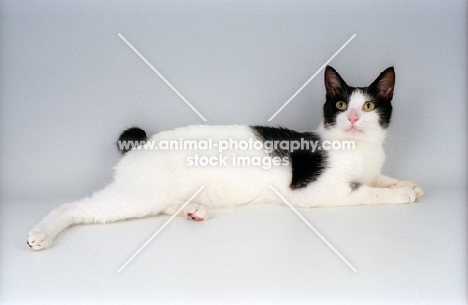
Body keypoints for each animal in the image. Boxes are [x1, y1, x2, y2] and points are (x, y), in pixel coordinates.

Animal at [26, 65, 424, 248]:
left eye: (368, 106)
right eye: (341, 106)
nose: (354, 119)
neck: (360, 149)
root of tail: (141, 144)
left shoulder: (369, 169)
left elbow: (378, 178)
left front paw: (408, 183)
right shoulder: (315, 192)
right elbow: (366, 191)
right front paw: (401, 194)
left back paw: (192, 209)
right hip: (137, 195)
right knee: (73, 207)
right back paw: (41, 233)